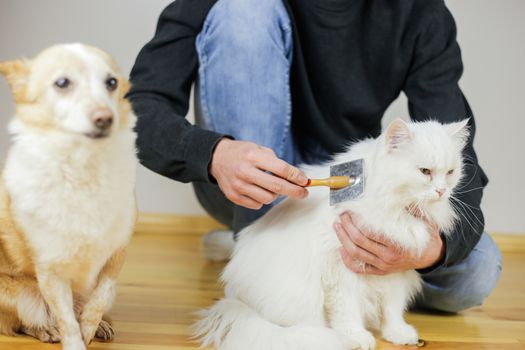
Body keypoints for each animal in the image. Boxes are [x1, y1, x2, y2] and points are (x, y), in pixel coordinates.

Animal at [194, 119, 468, 348]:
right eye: (425, 172)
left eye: (450, 172)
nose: (442, 191)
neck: (395, 207)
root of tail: (238, 303)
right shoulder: (341, 273)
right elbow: (347, 312)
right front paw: (356, 338)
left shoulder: (397, 268)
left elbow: (392, 309)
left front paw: (397, 334)